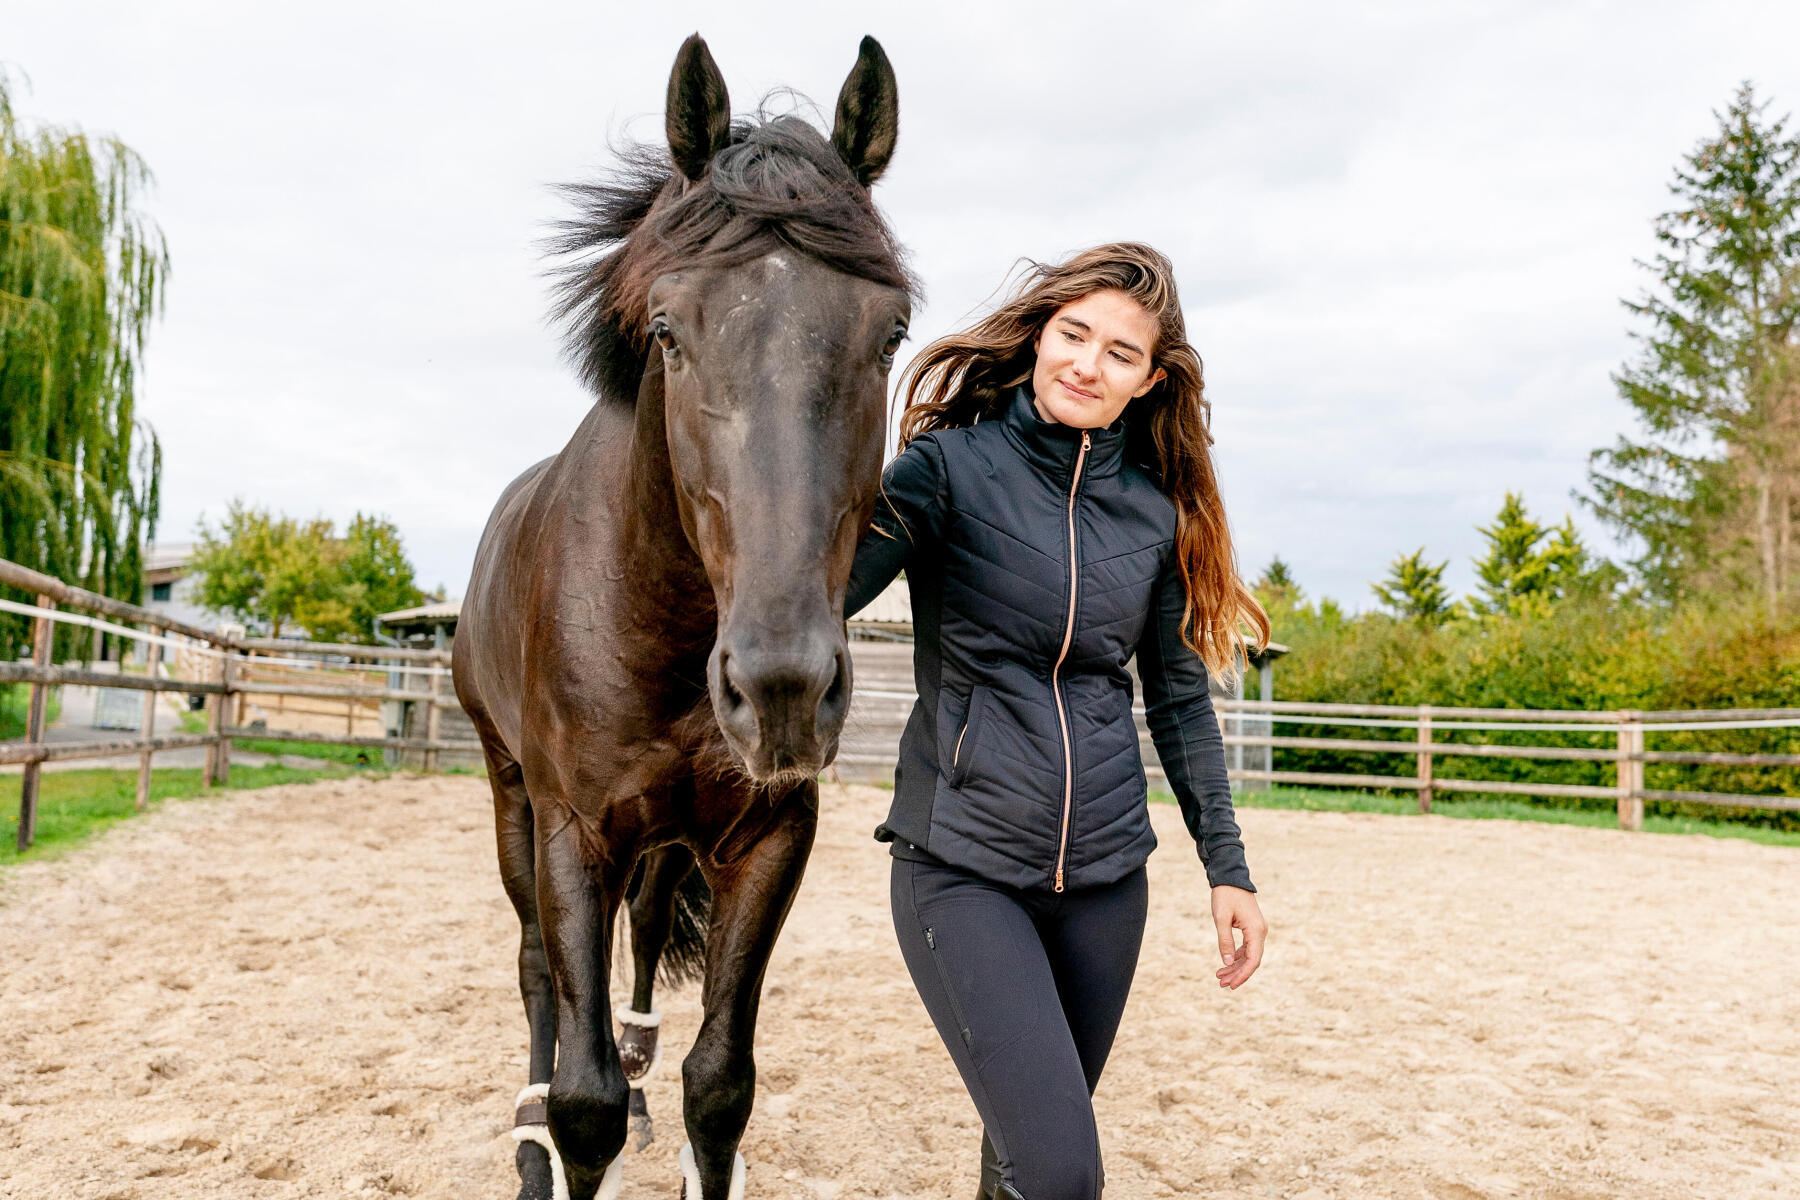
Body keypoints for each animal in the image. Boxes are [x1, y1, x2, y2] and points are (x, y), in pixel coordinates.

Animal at [450, 37, 900, 1200]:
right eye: (667, 331)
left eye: (891, 335)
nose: (783, 688)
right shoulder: (572, 829)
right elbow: (585, 1100)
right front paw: (555, 1135)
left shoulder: (770, 836)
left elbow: (719, 1083)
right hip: (510, 795)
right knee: (537, 971)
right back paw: (524, 1133)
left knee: (645, 932)